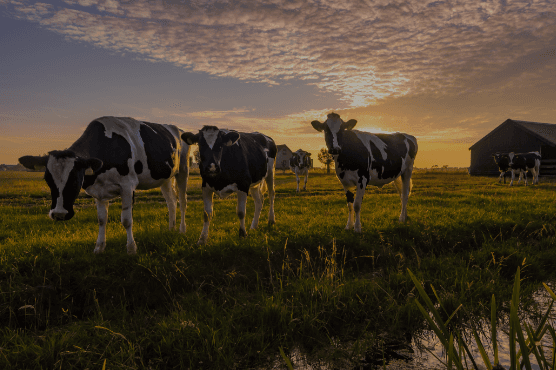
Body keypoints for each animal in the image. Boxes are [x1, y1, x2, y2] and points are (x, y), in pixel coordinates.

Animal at [18, 116, 191, 254]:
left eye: (75, 178)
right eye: (47, 179)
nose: (59, 214)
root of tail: (177, 128)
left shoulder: (128, 186)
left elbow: (126, 220)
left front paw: (131, 249)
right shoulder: (99, 191)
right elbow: (102, 219)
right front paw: (99, 247)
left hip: (183, 170)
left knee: (182, 202)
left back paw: (182, 230)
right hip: (165, 178)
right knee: (171, 202)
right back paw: (171, 228)